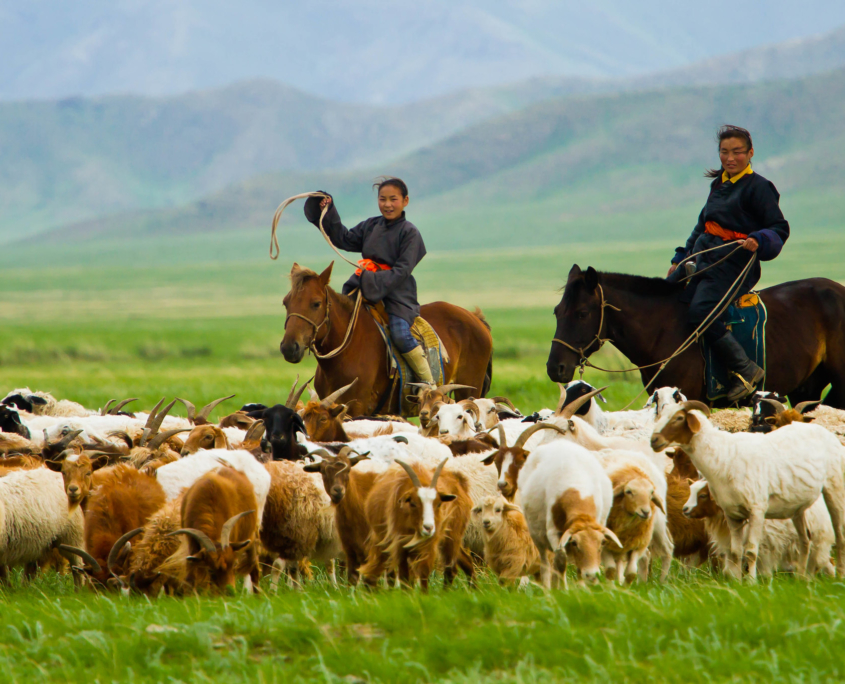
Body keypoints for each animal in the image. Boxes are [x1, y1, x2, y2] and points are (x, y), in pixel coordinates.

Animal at [276, 264, 494, 416]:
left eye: (316, 303)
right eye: (286, 302)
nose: (289, 347)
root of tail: (475, 318)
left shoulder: (356, 408)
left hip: (469, 389)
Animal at [516, 440, 620, 592]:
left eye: (602, 542)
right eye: (575, 543)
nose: (591, 575)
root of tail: (559, 442)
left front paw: (581, 588)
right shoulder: (553, 532)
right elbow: (561, 560)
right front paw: (563, 590)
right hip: (537, 536)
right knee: (545, 562)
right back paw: (547, 588)